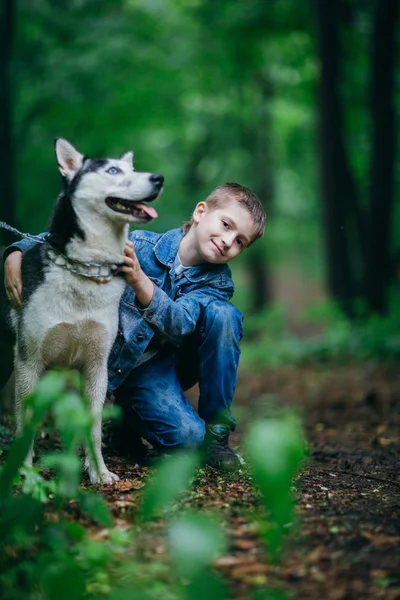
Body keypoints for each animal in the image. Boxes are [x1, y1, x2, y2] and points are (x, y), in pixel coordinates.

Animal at [3, 138, 162, 486]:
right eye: (112, 170)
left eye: (133, 168)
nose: (159, 178)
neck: (86, 269)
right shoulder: (28, 363)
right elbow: (26, 425)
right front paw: (26, 474)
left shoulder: (96, 367)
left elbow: (94, 427)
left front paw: (98, 472)